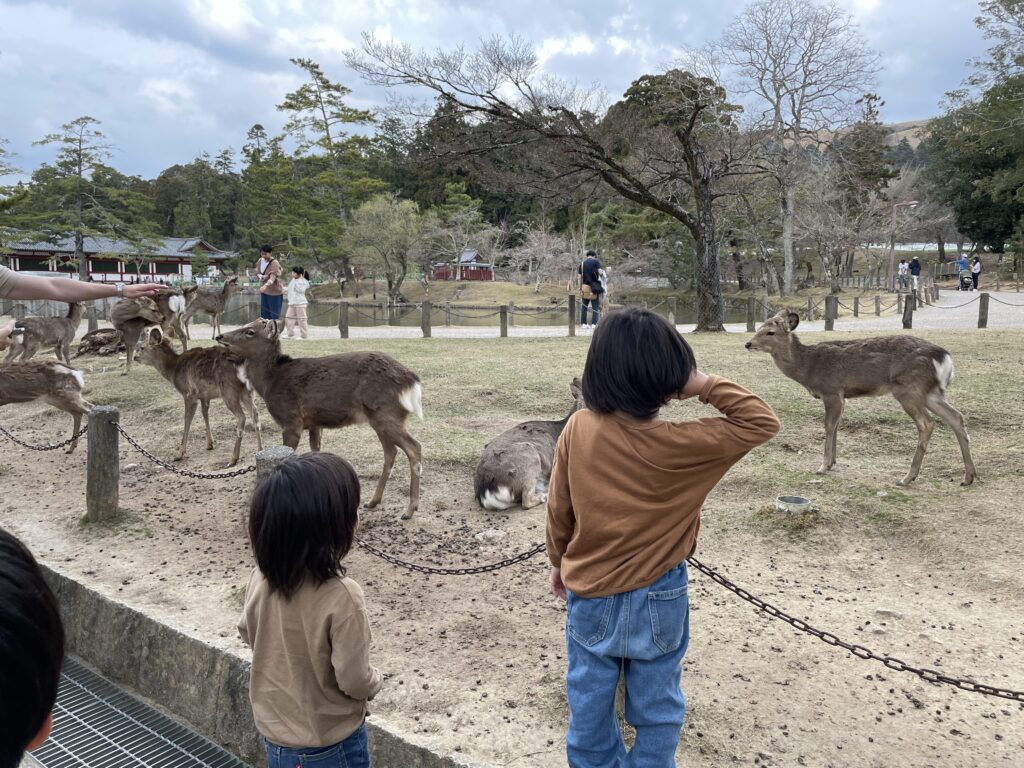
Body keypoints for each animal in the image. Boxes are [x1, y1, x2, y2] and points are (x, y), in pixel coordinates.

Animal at [136, 327, 262, 467]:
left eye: (141, 347)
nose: (135, 357)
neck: (173, 371)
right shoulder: (204, 396)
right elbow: (205, 414)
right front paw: (210, 444)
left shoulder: (189, 394)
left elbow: (187, 419)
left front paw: (180, 453)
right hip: (247, 391)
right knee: (255, 414)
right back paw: (260, 450)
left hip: (229, 390)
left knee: (241, 417)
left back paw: (233, 458)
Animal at [216, 319, 424, 519]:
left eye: (250, 331)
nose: (219, 336)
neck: (269, 383)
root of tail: (412, 381)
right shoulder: (315, 424)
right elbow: (315, 451)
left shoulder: (291, 420)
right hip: (380, 418)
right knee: (391, 452)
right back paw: (373, 501)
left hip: (386, 413)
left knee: (414, 447)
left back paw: (409, 510)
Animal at [745, 311, 977, 487]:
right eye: (758, 327)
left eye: (770, 332)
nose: (748, 343)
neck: (808, 368)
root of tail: (944, 357)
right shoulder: (842, 396)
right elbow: (837, 425)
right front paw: (832, 462)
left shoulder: (831, 390)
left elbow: (829, 425)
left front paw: (822, 466)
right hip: (931, 392)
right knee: (956, 416)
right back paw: (968, 476)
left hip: (908, 389)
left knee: (927, 424)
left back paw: (907, 478)